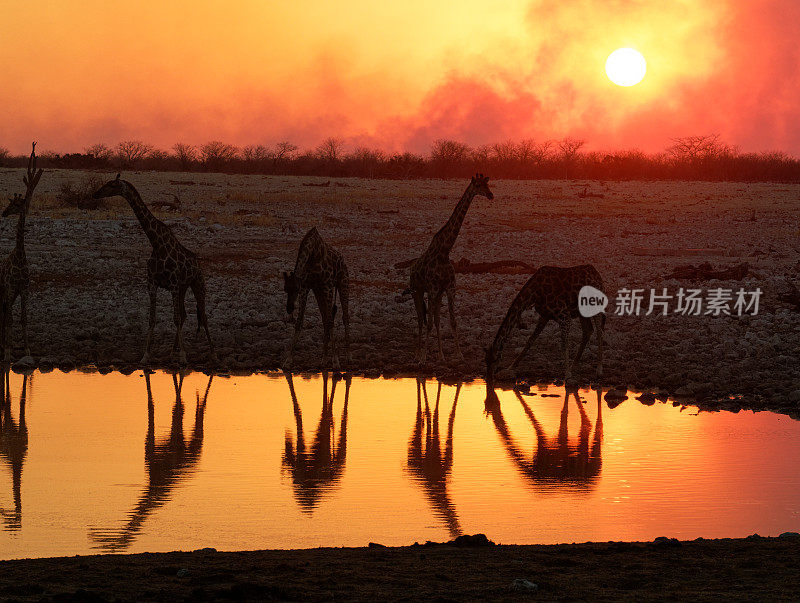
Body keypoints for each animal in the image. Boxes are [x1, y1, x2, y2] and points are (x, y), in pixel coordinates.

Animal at [91, 173, 214, 364]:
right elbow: (152, 319)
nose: (96, 194)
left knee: (203, 316)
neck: (156, 243)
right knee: (185, 315)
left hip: (197, 285)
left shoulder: (173, 285)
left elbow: (175, 318)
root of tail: (198, 264)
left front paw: (183, 356)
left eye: (111, 185)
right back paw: (172, 351)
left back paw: (212, 352)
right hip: (183, 288)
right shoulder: (153, 284)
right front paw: (146, 355)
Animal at [284, 225, 350, 368]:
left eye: (295, 289)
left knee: (345, 317)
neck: (312, 255)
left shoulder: (327, 285)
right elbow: (299, 321)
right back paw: (323, 359)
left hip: (343, 283)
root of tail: (342, 259)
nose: (289, 308)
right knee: (325, 318)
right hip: (319, 291)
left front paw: (336, 361)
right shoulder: (307, 287)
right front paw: (288, 360)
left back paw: (348, 356)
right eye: (285, 289)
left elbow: (331, 321)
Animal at [412, 172, 494, 366]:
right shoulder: (433, 289)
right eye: (478, 185)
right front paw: (424, 358)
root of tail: (411, 269)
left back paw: (441, 355)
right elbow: (428, 323)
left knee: (434, 319)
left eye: (487, 184)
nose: (491, 195)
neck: (444, 252)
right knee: (420, 319)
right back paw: (418, 355)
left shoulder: (449, 288)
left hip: (435, 294)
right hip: (417, 291)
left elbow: (452, 321)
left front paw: (459, 355)